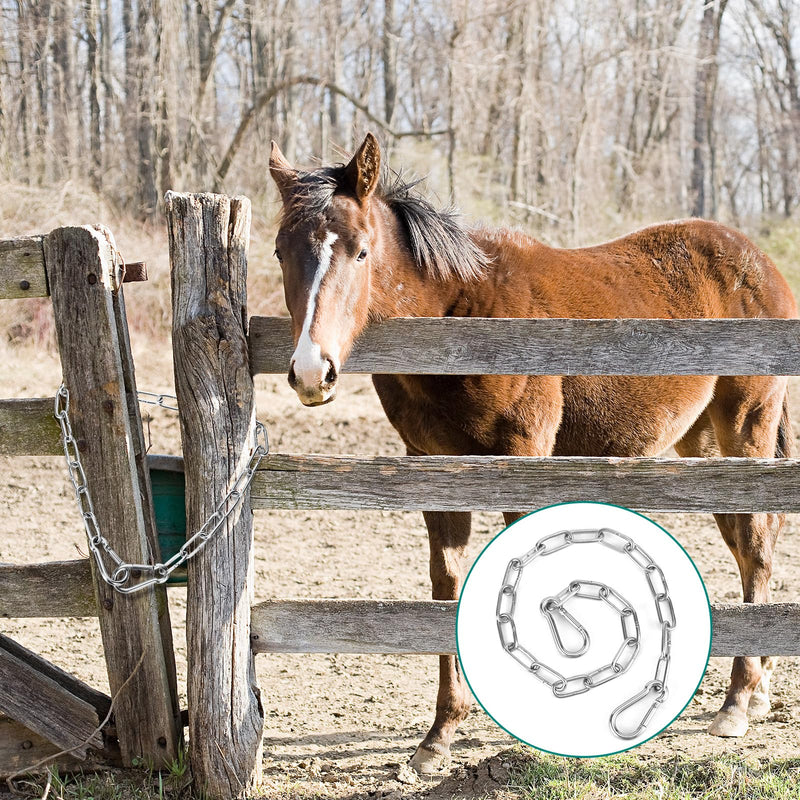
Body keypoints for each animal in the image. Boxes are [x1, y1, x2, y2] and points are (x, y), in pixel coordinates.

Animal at [268, 132, 796, 773]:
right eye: (279, 252)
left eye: (362, 251)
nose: (310, 371)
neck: (461, 315)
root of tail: (758, 261)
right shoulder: (432, 468)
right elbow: (447, 585)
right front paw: (440, 734)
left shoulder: (522, 458)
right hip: (702, 445)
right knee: (746, 542)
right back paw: (759, 687)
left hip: (746, 428)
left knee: (756, 542)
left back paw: (738, 702)